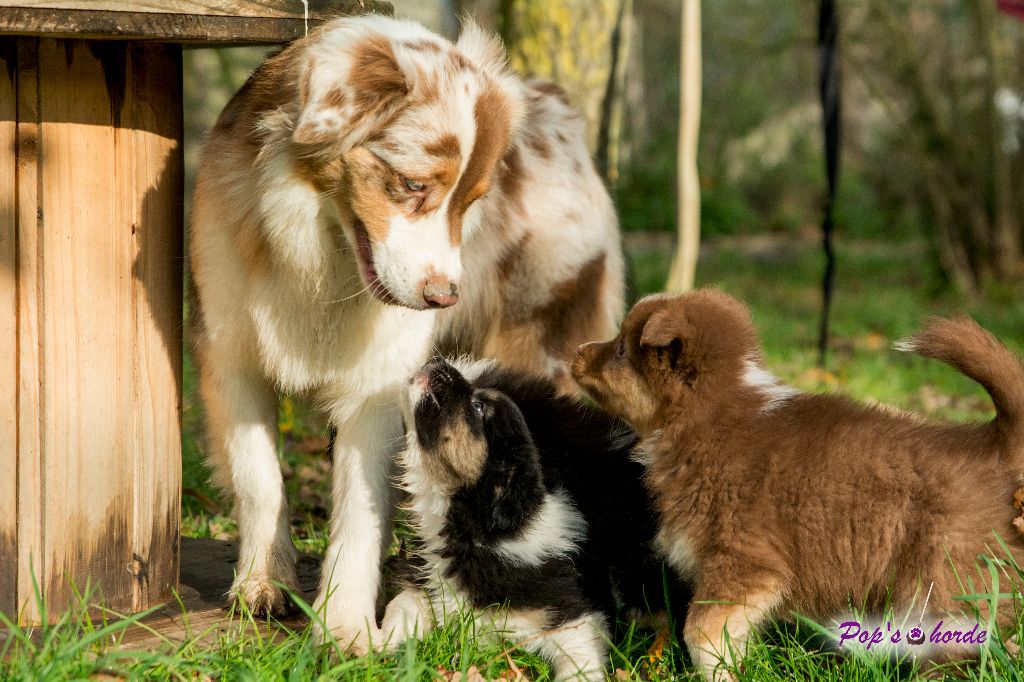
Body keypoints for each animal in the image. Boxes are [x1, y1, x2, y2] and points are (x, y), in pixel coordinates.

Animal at [191, 11, 622, 647]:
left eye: (471, 202)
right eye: (416, 185)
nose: (443, 297)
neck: (322, 257)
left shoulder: (379, 387)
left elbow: (359, 513)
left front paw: (343, 628)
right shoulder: (232, 353)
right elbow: (258, 477)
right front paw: (264, 583)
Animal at [380, 358, 675, 675]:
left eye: (478, 407)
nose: (437, 361)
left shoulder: (575, 618)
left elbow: (578, 665)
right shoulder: (426, 582)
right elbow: (401, 606)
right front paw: (381, 646)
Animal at [569, 288, 1024, 679]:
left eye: (621, 349)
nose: (576, 352)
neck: (711, 414)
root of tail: (990, 443)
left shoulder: (743, 560)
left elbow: (702, 630)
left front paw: (720, 672)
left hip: (943, 580)